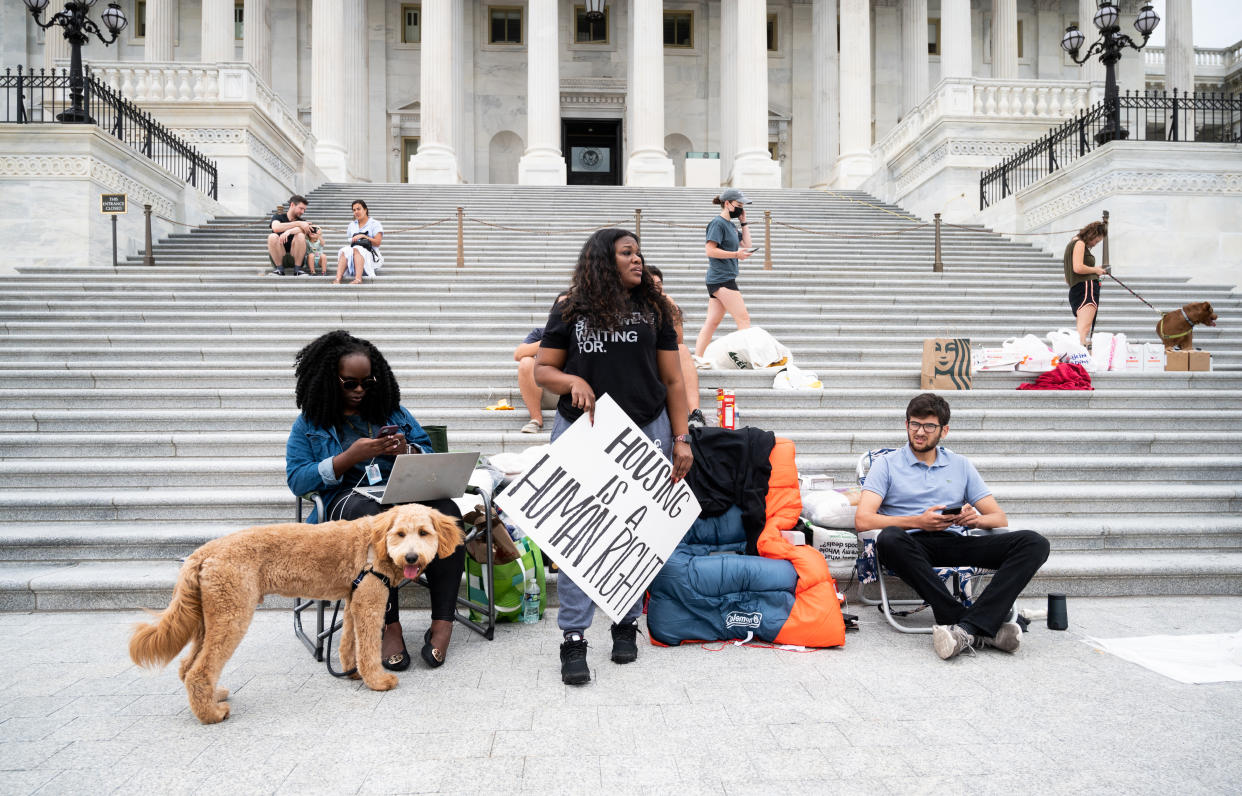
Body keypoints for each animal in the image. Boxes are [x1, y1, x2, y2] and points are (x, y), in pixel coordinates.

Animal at [128, 506, 464, 725]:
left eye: (424, 532)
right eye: (400, 534)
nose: (411, 557)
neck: (375, 544)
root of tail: (202, 554)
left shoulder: (353, 601)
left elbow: (349, 644)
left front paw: (352, 672)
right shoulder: (370, 603)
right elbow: (368, 648)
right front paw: (378, 681)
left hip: (207, 619)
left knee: (187, 666)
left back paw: (214, 697)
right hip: (231, 613)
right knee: (199, 670)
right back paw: (212, 714)